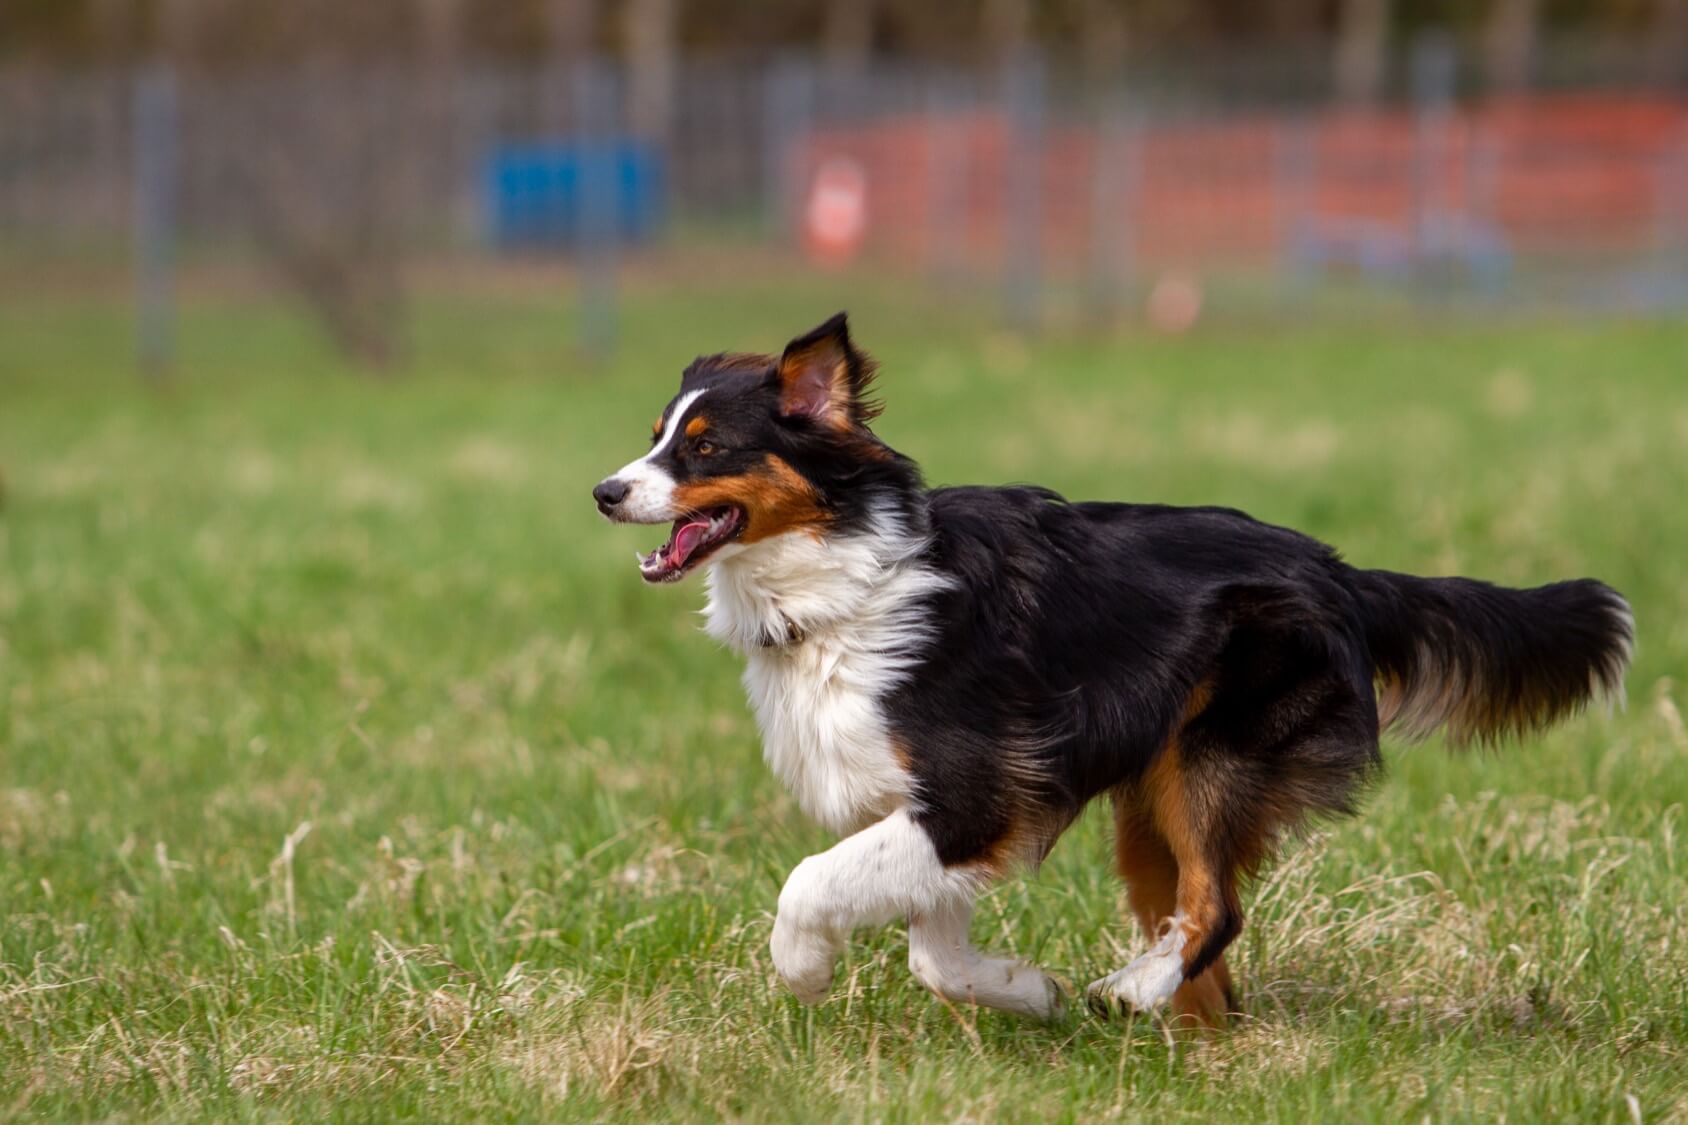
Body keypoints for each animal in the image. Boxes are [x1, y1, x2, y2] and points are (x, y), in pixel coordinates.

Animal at [597, 310, 1633, 1020]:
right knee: (1208, 954)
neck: (843, 578)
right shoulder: (946, 817)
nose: (605, 491)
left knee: (1216, 912)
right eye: (654, 435)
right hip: (1151, 810)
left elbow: (809, 882)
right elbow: (936, 955)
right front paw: (1027, 990)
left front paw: (804, 970)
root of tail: (1340, 571)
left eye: (706, 447)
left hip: (1210, 761)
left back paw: (1134, 990)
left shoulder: (972, 796)